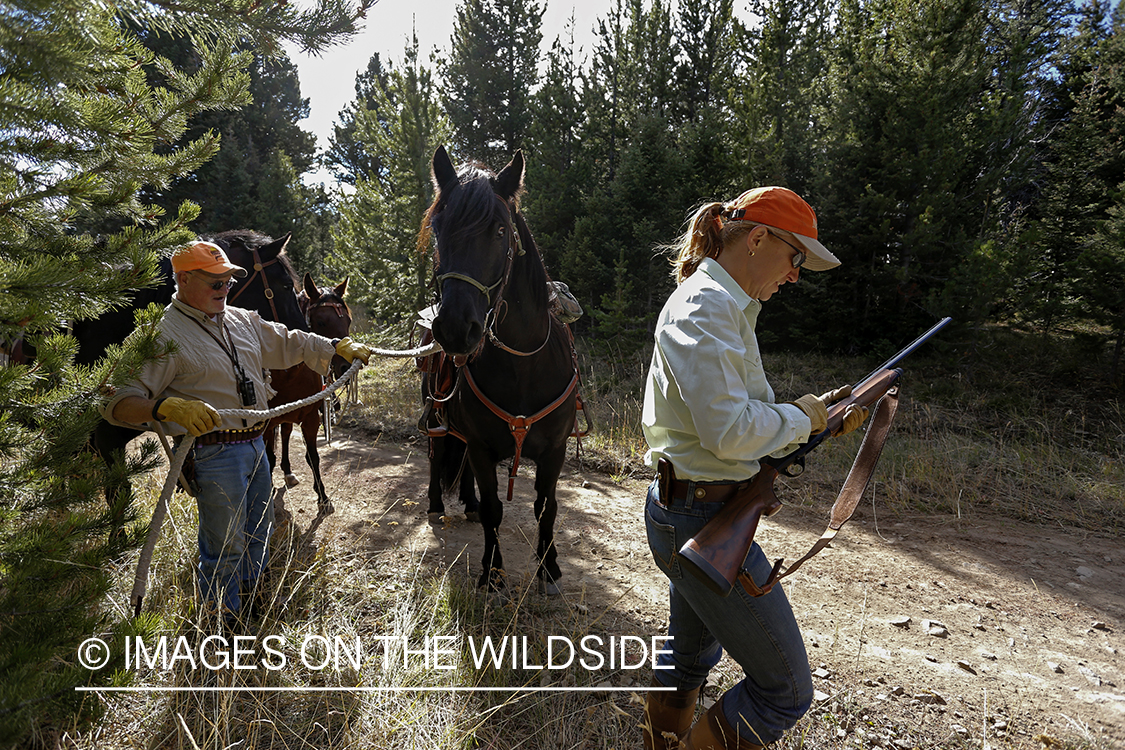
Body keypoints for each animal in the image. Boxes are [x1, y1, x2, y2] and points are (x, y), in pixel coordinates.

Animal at [264, 274, 348, 517]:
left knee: (285, 433)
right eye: (321, 322)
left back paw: (288, 471)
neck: (289, 373)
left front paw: (323, 496)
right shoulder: (266, 423)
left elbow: (313, 457)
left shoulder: (310, 418)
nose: (345, 366)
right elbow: (267, 458)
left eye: (348, 321)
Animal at [423, 145, 580, 593]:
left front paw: (549, 567)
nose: (455, 328)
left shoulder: (555, 451)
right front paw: (492, 572)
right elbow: (496, 509)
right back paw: (438, 502)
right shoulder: (480, 445)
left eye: (498, 231)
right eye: (438, 227)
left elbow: (547, 507)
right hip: (436, 417)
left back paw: (468, 502)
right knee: (438, 455)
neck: (524, 365)